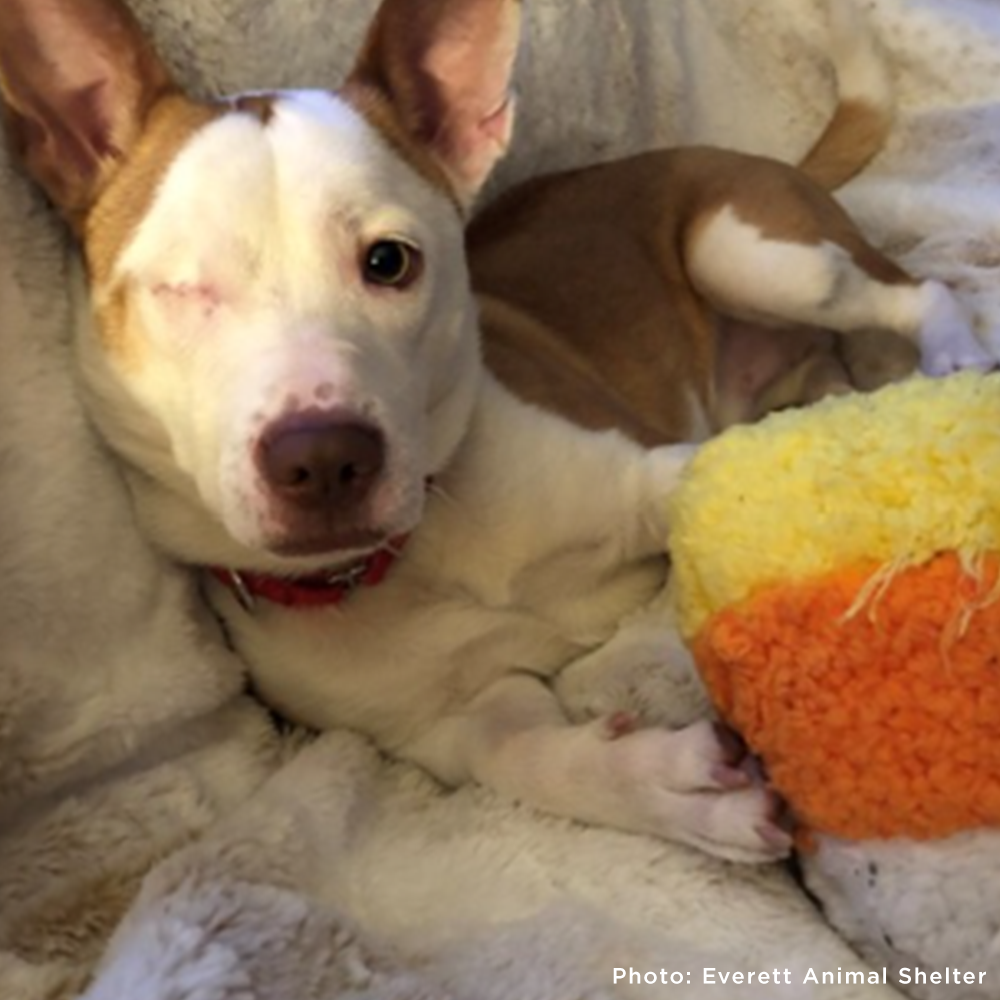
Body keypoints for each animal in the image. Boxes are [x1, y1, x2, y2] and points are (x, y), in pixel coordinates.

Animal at [0, 0, 992, 866]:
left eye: (388, 262)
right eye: (179, 289)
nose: (323, 458)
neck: (417, 552)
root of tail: (756, 156)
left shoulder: (651, 471)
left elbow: (733, 483)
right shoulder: (457, 719)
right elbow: (527, 761)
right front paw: (667, 786)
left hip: (752, 253)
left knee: (915, 292)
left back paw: (946, 357)